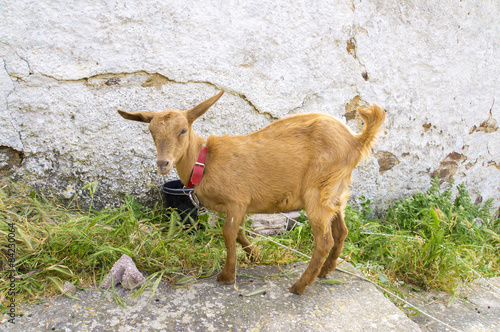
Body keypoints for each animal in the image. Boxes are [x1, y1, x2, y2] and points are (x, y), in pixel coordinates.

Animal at [119, 90, 384, 294]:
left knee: (324, 240)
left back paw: (300, 286)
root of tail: (355, 141)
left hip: (317, 191)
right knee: (341, 231)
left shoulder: (237, 199)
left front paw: (227, 275)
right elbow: (238, 232)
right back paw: (326, 270)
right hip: (336, 191)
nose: (163, 163)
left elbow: (228, 233)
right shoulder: (240, 207)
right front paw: (255, 255)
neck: (205, 161)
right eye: (151, 131)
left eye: (183, 130)